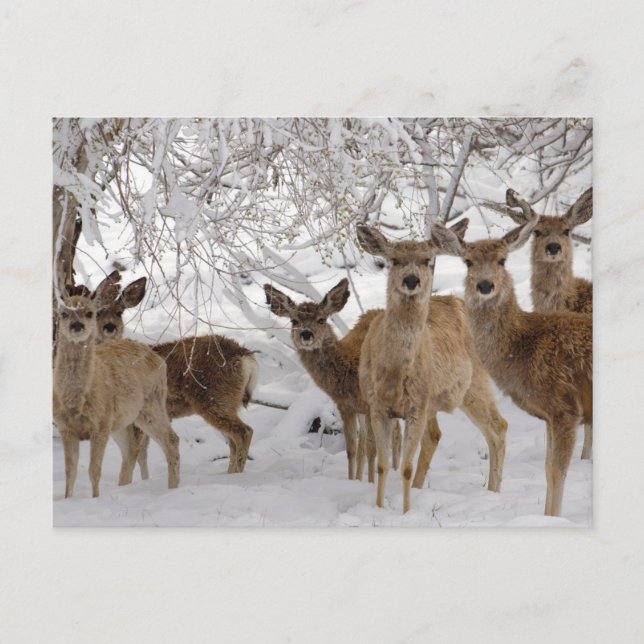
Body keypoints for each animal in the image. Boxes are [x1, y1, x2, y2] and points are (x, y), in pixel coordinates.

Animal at [53, 281, 180, 498]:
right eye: (64, 313)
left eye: (90, 313)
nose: (77, 326)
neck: (75, 401)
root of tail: (157, 358)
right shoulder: (65, 427)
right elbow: (70, 472)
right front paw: (68, 499)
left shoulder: (101, 424)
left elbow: (94, 470)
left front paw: (95, 499)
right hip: (123, 419)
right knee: (130, 451)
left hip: (151, 404)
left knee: (171, 440)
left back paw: (173, 489)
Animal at [90, 272, 259, 474]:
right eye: (97, 312)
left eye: (119, 312)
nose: (110, 326)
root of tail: (246, 357)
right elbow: (143, 456)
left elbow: (134, 453)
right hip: (228, 402)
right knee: (233, 440)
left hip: (215, 398)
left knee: (244, 432)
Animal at [355, 224, 508, 514]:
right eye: (395, 260)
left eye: (428, 259)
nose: (411, 280)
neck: (395, 372)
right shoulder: (376, 405)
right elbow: (382, 465)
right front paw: (379, 508)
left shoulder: (416, 406)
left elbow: (404, 467)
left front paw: (406, 512)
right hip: (436, 401)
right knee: (437, 435)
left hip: (473, 383)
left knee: (498, 426)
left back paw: (494, 492)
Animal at [430, 217, 592, 517]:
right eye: (468, 261)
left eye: (502, 259)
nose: (485, 285)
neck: (524, 345)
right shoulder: (551, 414)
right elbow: (547, 469)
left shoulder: (565, 407)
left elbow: (557, 472)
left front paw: (552, 518)